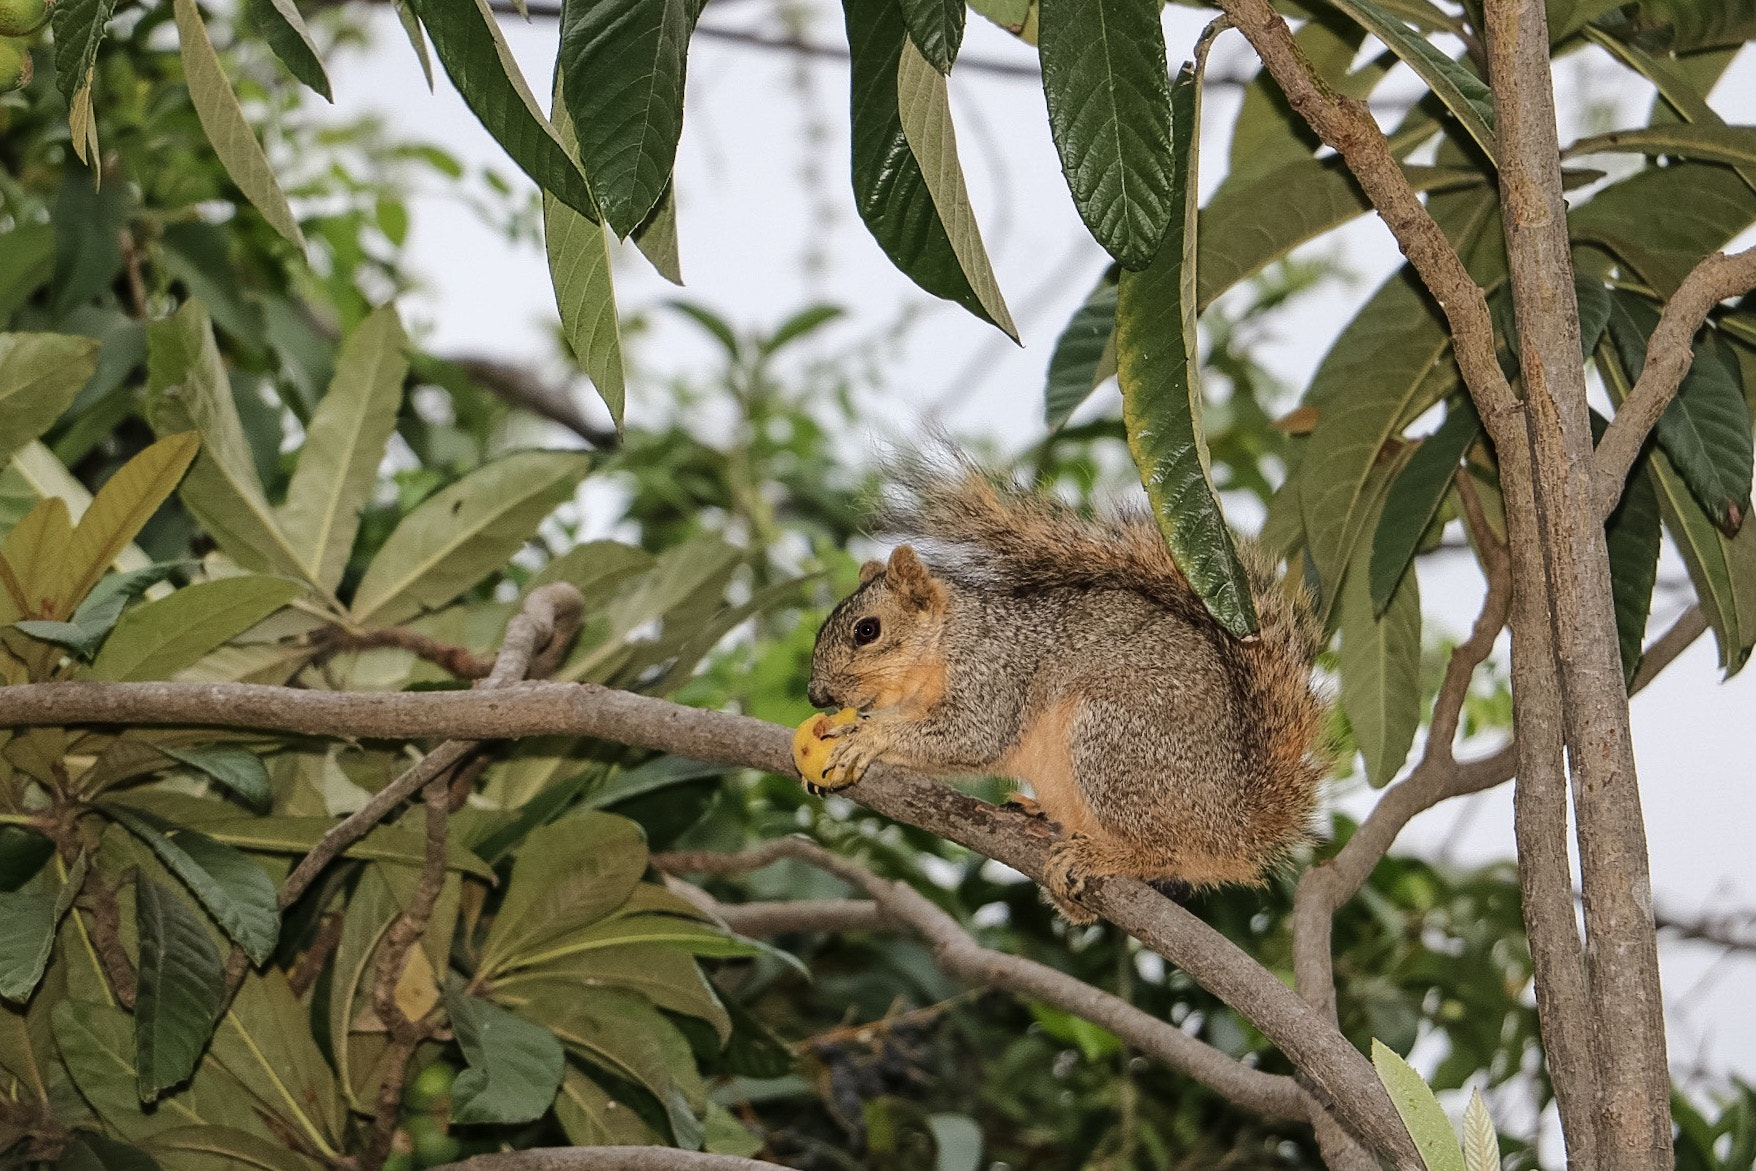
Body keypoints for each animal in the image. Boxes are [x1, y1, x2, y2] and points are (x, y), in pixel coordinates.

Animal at [804, 453, 1330, 923]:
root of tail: (1236, 827)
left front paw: (865, 737)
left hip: (1114, 740)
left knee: (1166, 851)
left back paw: (1109, 856)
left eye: (866, 631)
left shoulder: (994, 674)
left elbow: (971, 737)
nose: (816, 696)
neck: (943, 644)